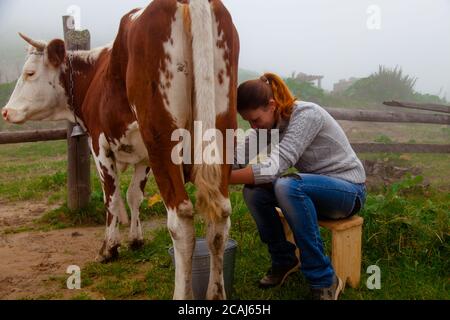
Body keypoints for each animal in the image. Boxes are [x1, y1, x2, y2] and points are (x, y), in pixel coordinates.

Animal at [1, 0, 239, 300]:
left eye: (29, 73)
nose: (6, 111)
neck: (94, 75)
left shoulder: (99, 144)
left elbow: (111, 199)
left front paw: (109, 248)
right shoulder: (143, 156)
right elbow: (134, 195)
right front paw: (135, 239)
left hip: (162, 137)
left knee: (181, 220)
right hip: (221, 129)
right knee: (220, 218)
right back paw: (216, 294)